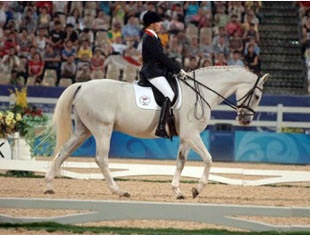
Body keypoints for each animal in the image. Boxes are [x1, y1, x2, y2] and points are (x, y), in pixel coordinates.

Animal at [44, 66, 268, 198]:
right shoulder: (192, 134)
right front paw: (196, 189)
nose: (245, 120)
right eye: (257, 96)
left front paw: (177, 191)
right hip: (102, 129)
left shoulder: (186, 137)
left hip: (83, 131)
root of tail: (82, 85)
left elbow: (181, 162)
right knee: (101, 159)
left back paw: (48, 186)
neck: (200, 91)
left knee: (63, 152)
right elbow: (209, 159)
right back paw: (119, 191)